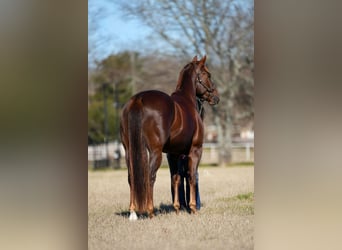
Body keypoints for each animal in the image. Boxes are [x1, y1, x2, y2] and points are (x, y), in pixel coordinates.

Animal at [119, 55, 219, 220]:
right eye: (208, 74)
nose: (216, 97)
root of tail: (138, 99)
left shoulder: (174, 154)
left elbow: (175, 178)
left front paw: (177, 208)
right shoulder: (195, 150)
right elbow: (191, 176)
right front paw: (193, 208)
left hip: (129, 151)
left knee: (131, 177)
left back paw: (133, 212)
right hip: (155, 152)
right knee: (150, 176)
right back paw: (150, 211)